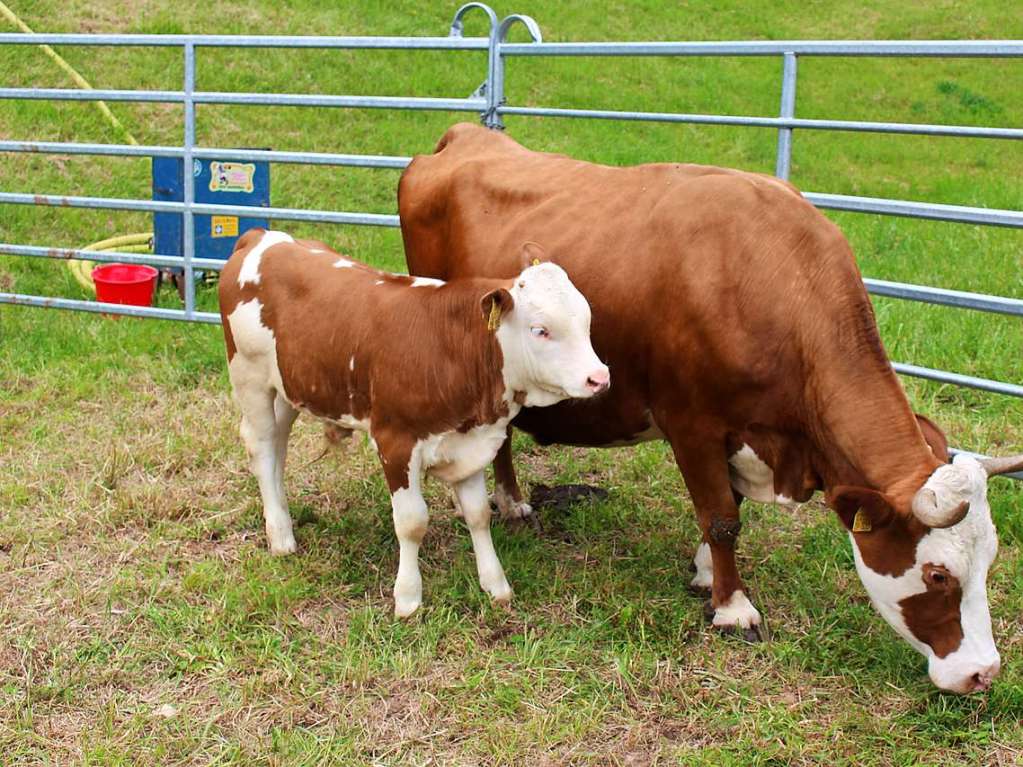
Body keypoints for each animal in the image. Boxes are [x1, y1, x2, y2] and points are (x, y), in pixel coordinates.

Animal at [216, 228, 605, 617]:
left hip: (289, 386)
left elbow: (479, 514)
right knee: (262, 447)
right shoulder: (395, 442)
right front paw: (407, 598)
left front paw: (495, 585)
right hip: (249, 376)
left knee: (279, 446)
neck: (451, 348)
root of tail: (262, 236)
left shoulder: (471, 441)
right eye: (540, 330)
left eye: (586, 320)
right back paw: (281, 536)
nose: (599, 377)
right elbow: (412, 522)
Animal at [398, 123, 1023, 695]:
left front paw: (704, 575)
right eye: (938, 574)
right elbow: (723, 516)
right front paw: (733, 606)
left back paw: (511, 500)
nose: (983, 673)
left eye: (991, 561)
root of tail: (466, 135)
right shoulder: (692, 423)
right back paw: (506, 502)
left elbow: (730, 505)